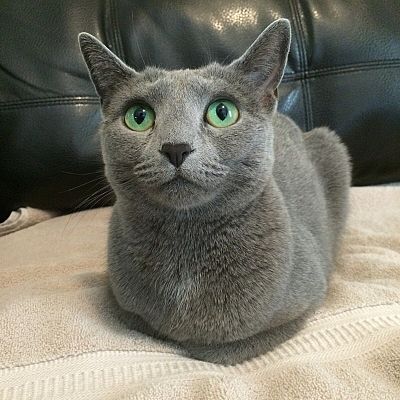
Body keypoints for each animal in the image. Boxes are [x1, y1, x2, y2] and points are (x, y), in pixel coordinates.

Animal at [78, 20, 350, 366]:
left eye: (222, 112)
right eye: (138, 116)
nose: (176, 147)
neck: (185, 241)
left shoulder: (308, 294)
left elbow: (227, 344)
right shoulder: (122, 303)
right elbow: (144, 322)